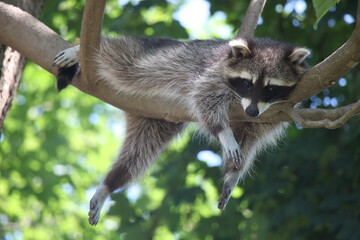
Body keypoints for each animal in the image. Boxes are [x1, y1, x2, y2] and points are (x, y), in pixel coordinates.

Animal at [52, 35, 310, 225]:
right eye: (247, 83)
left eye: (270, 88)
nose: (252, 111)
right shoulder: (214, 75)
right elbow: (204, 99)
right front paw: (224, 134)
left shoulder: (278, 109)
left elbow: (249, 136)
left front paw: (233, 174)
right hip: (153, 59)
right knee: (122, 58)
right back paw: (83, 49)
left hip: (156, 121)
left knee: (137, 156)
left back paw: (110, 182)